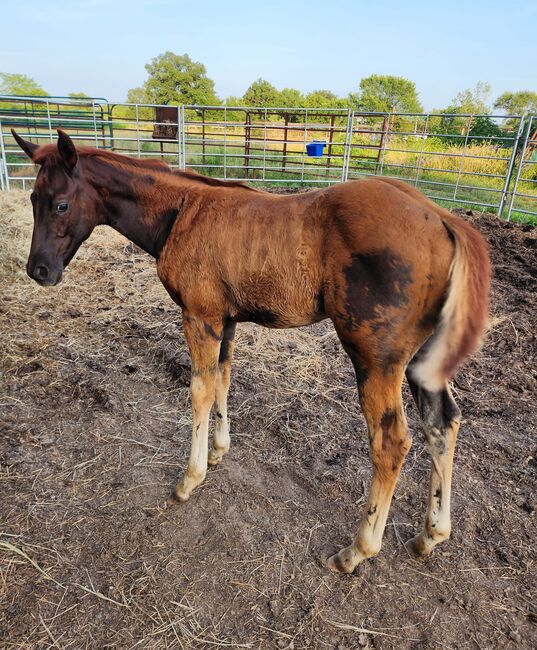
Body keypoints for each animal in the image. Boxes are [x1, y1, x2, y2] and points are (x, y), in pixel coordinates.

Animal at [13, 130, 490, 572]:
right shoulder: (225, 320)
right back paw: (431, 535)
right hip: (422, 360)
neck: (180, 211)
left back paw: (357, 551)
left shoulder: (199, 316)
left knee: (391, 442)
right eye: (33, 197)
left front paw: (190, 479)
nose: (39, 270)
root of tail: (441, 218)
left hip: (375, 358)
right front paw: (219, 450)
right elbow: (222, 380)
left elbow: (200, 390)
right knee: (442, 424)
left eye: (60, 204)